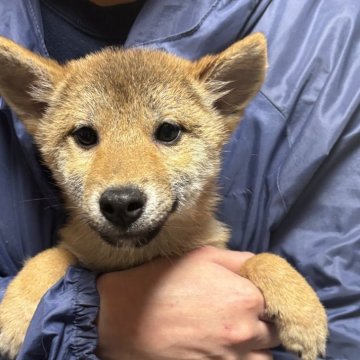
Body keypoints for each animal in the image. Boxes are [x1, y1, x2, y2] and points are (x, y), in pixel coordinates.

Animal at [0, 33, 328, 358]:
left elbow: (262, 258)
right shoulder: (77, 247)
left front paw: (302, 308)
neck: (137, 257)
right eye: (85, 135)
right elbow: (52, 256)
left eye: (168, 131)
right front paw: (15, 310)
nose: (121, 203)